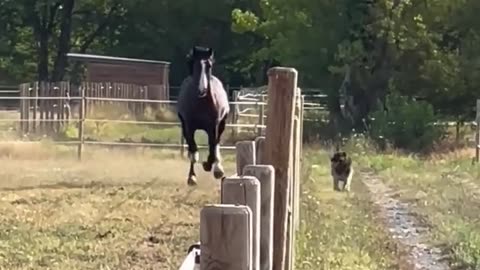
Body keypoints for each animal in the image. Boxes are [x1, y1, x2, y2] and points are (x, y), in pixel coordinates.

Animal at [176, 46, 231, 186]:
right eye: (194, 64)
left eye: (209, 65)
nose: (202, 90)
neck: (201, 103)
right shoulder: (189, 127)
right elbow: (193, 148)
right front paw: (192, 177)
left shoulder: (214, 127)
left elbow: (213, 146)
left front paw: (209, 166)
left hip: (222, 125)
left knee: (216, 144)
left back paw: (217, 168)